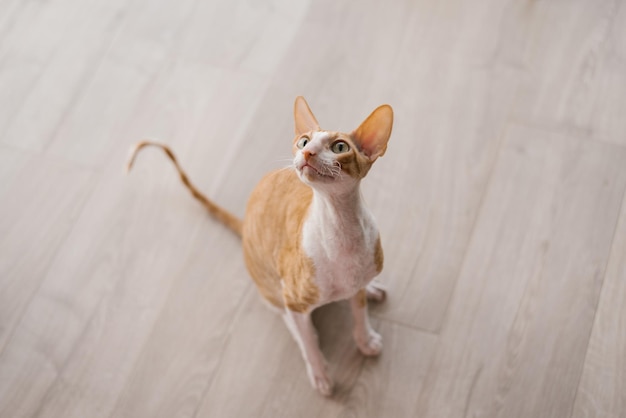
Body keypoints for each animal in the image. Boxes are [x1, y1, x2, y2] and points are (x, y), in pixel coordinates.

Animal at [126, 95, 390, 396]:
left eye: (340, 147)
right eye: (304, 141)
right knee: (293, 322)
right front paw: (320, 373)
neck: (341, 229)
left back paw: (372, 289)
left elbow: (360, 313)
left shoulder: (357, 276)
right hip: (273, 288)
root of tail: (245, 222)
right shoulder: (293, 297)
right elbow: (308, 341)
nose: (308, 153)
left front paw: (365, 340)